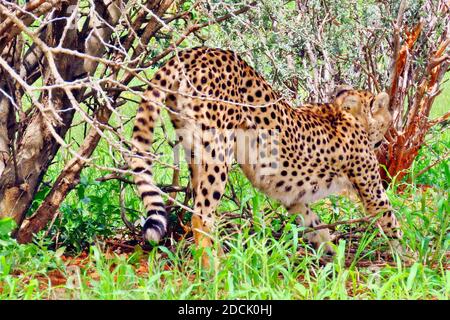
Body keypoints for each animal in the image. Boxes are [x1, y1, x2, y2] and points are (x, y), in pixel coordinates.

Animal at [128, 45, 402, 264]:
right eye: (388, 120)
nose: (387, 136)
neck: (345, 113)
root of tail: (194, 51)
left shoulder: (293, 196)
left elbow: (316, 226)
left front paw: (334, 258)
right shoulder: (372, 192)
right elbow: (392, 222)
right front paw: (406, 261)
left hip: (194, 151)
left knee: (201, 210)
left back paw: (220, 261)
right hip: (218, 154)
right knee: (201, 216)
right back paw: (212, 270)